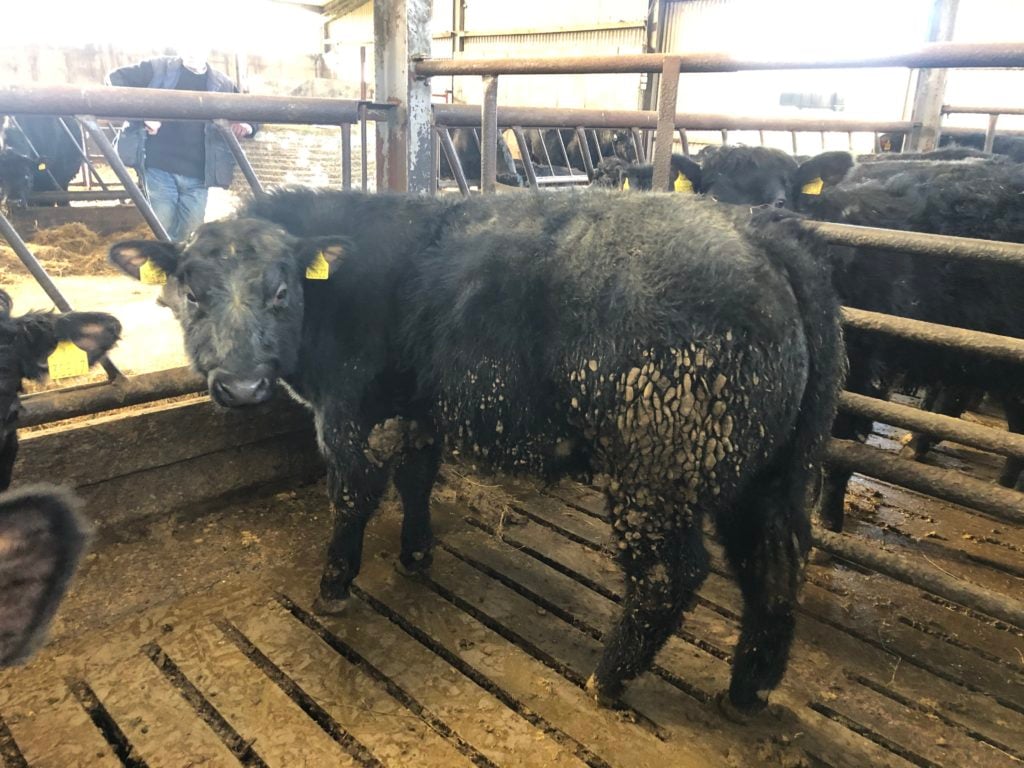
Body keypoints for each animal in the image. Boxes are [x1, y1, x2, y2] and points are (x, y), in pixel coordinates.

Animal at [110, 187, 845, 716]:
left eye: (282, 290)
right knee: (775, 564)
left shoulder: (343, 411)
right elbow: (415, 476)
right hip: (774, 472)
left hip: (658, 470)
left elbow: (354, 493)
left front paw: (335, 584)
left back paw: (606, 680)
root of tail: (760, 232)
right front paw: (416, 555)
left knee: (670, 574)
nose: (241, 384)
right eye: (191, 292)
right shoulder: (419, 406)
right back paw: (748, 688)